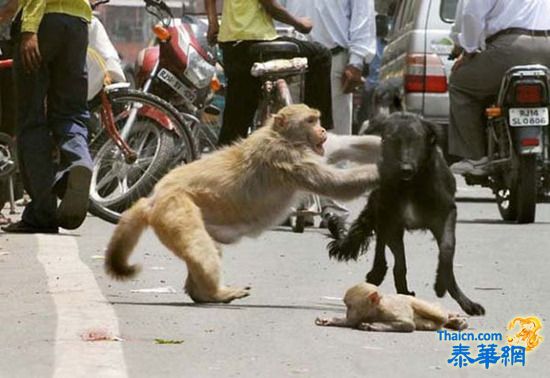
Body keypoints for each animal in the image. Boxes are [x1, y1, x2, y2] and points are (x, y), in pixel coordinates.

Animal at [105, 104, 382, 304]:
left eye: (318, 120)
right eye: (310, 121)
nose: (323, 131)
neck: (281, 136)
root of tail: (154, 198)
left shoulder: (312, 150)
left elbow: (345, 146)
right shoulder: (288, 159)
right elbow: (336, 185)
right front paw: (385, 171)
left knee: (208, 249)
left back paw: (202, 295)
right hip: (175, 209)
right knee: (199, 248)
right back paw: (216, 293)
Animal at [316, 282, 468, 332]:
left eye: (349, 306)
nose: (347, 313)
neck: (374, 311)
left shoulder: (389, 312)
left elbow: (408, 325)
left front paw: (373, 326)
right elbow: (350, 323)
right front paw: (329, 320)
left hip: (421, 302)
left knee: (440, 316)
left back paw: (453, 319)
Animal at [328, 112, 488, 316]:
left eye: (417, 139)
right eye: (391, 139)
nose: (405, 168)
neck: (412, 185)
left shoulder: (446, 214)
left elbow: (447, 250)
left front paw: (446, 288)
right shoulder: (392, 221)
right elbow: (400, 262)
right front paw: (401, 289)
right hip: (382, 210)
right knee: (382, 246)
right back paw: (379, 273)